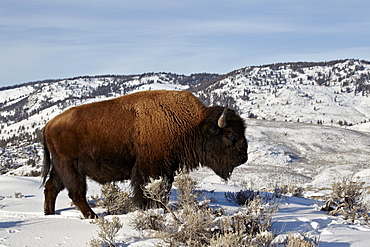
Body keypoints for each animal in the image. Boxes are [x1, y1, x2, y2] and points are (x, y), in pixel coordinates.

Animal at [42, 89, 247, 217]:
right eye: (230, 134)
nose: (243, 157)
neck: (191, 124)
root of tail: (48, 125)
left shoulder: (167, 170)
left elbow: (163, 191)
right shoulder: (150, 169)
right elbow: (147, 191)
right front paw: (149, 208)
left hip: (60, 168)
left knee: (51, 187)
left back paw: (49, 214)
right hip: (71, 168)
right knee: (76, 193)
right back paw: (93, 217)